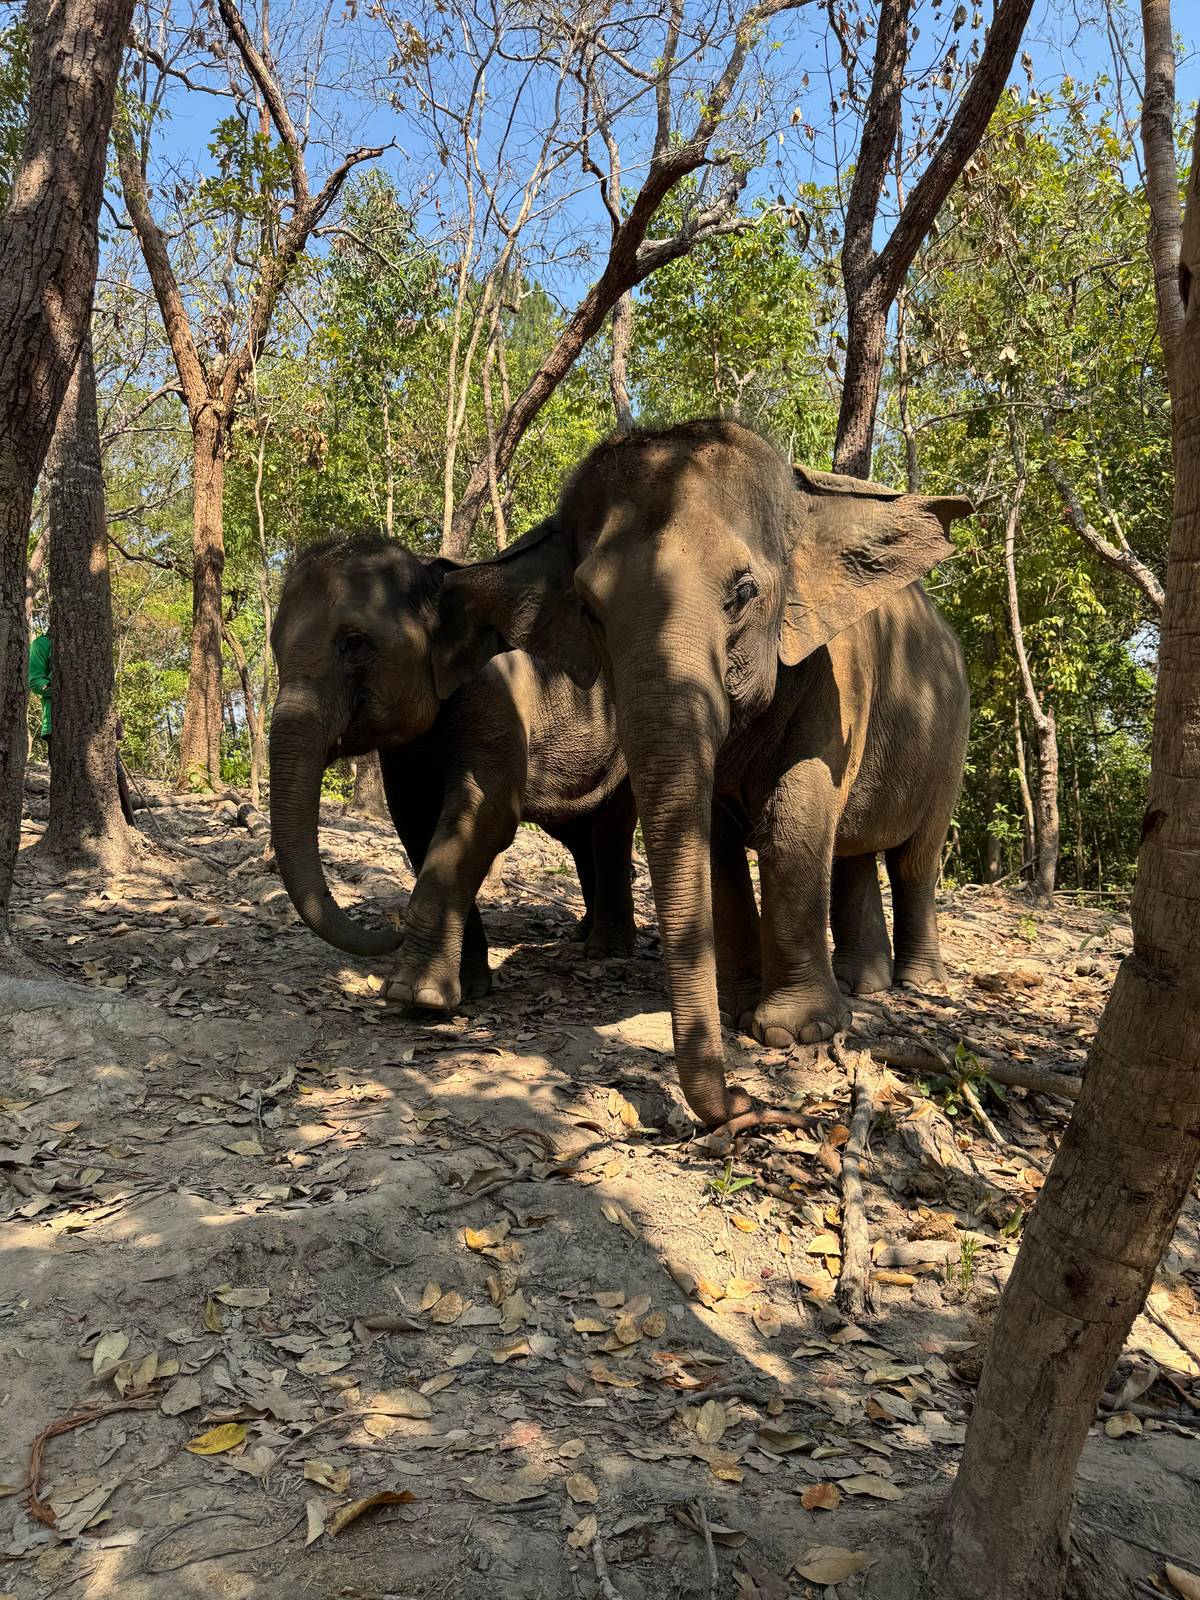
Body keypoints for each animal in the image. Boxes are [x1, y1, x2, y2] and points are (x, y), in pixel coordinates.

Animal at [267, 533, 637, 1009]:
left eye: (356, 644)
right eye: (275, 648)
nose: (392, 926)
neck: (433, 571)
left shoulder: (497, 698)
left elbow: (484, 815)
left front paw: (415, 995)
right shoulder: (405, 750)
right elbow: (416, 820)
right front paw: (468, 986)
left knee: (612, 824)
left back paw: (606, 949)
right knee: (575, 831)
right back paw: (583, 933)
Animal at [441, 419, 971, 1133]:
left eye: (743, 592)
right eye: (588, 608)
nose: (744, 1106)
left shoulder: (838, 676)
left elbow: (795, 823)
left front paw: (794, 1033)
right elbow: (717, 840)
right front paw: (738, 1009)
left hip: (950, 739)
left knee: (915, 859)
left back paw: (918, 985)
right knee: (856, 855)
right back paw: (864, 985)